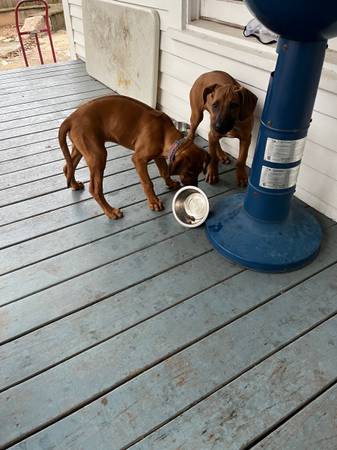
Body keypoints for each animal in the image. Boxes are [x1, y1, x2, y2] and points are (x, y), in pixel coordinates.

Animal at [58, 95, 210, 220]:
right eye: (190, 172)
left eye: (199, 172)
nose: (194, 188)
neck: (165, 133)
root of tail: (71, 118)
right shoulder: (138, 159)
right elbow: (148, 183)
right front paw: (154, 202)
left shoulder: (158, 156)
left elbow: (164, 171)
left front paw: (170, 183)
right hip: (98, 155)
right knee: (94, 189)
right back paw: (111, 212)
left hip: (82, 149)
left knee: (67, 167)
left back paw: (74, 185)